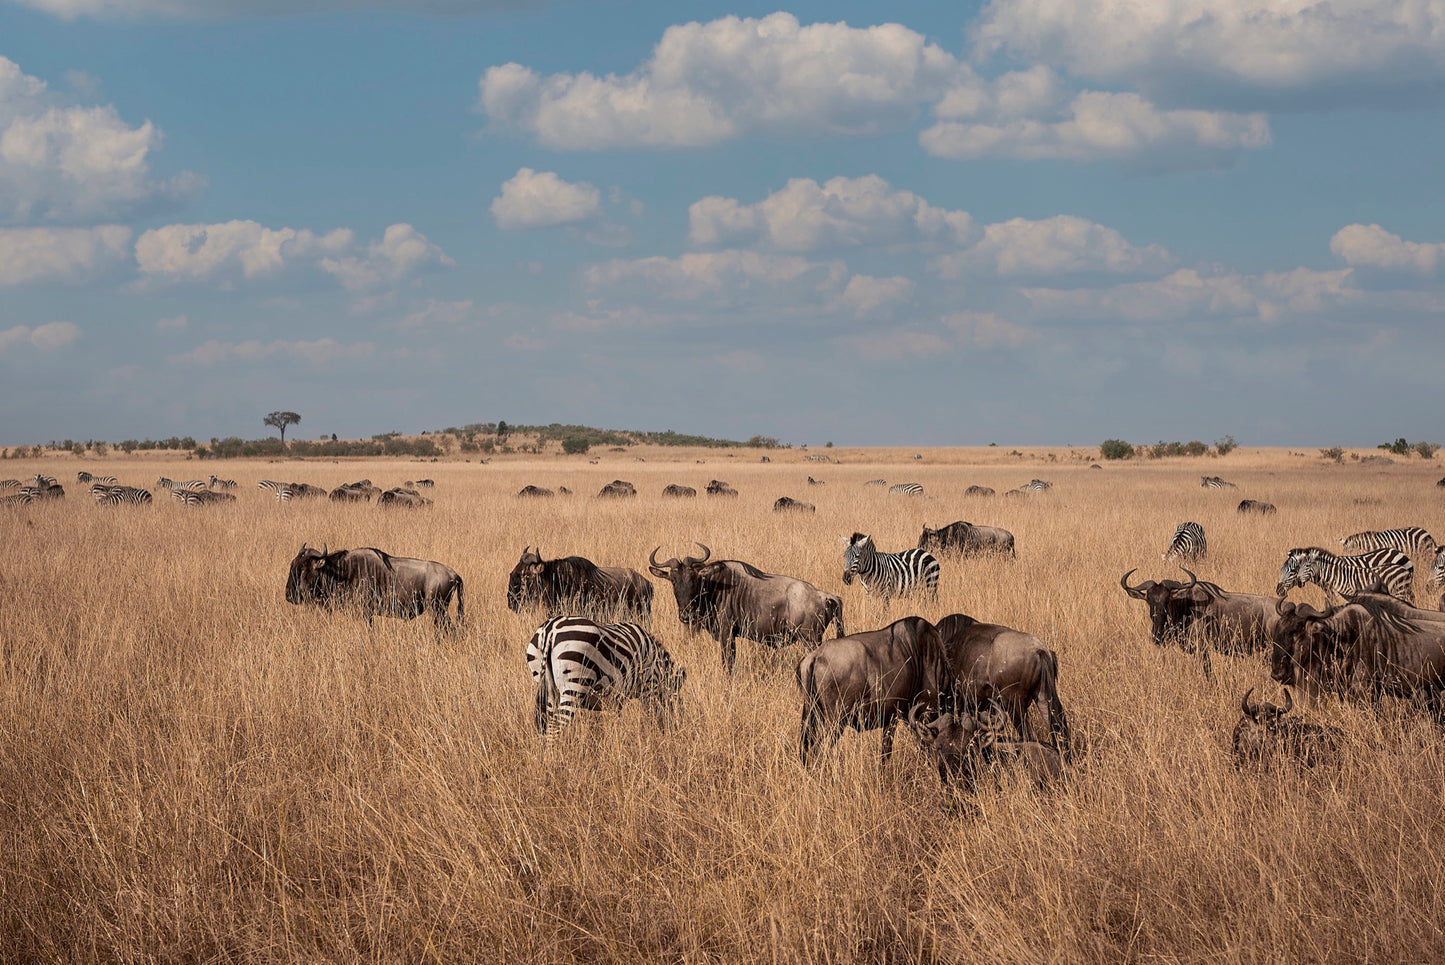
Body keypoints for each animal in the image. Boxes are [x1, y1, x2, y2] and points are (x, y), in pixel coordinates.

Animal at [528, 618, 684, 745]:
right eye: (676, 705)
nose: (675, 733)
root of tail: (550, 629)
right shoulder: (647, 687)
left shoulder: (617, 697)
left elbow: (615, 722)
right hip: (573, 685)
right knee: (555, 727)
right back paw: (552, 761)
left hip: (546, 685)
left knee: (546, 723)